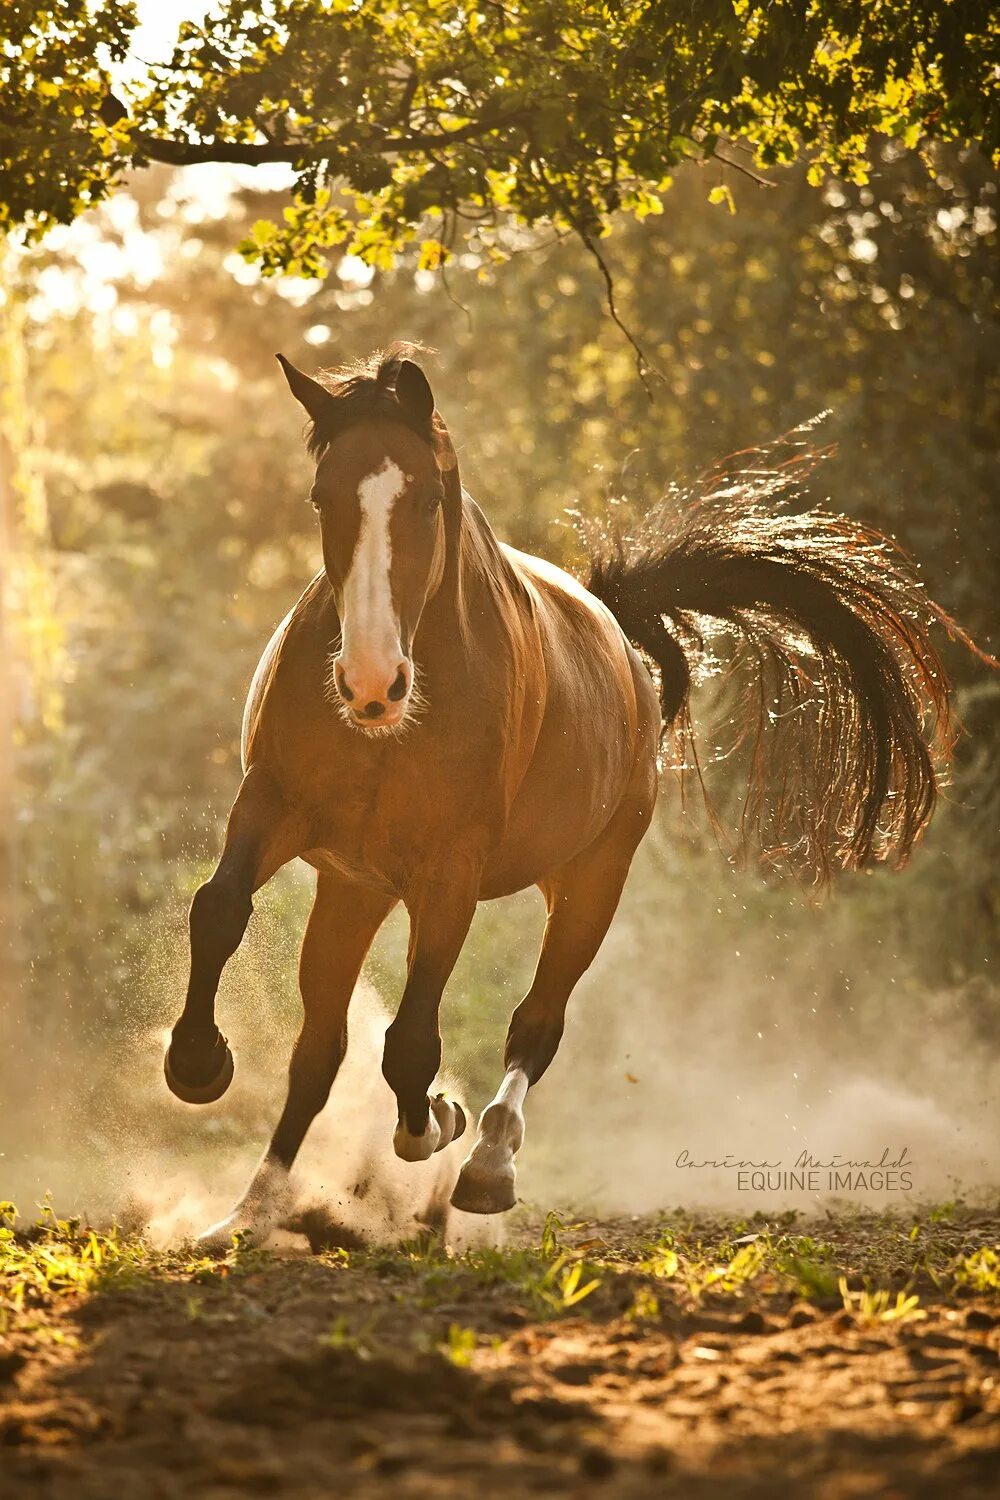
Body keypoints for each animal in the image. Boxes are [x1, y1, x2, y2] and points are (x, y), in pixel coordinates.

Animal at [167, 345, 959, 1248]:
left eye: (427, 498)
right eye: (321, 497)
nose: (371, 682)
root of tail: (616, 629)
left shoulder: (451, 872)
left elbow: (413, 1044)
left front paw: (436, 1124)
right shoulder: (274, 805)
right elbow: (218, 910)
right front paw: (197, 1064)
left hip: (588, 884)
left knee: (534, 1025)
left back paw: (483, 1165)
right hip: (353, 891)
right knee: (319, 1051)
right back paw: (250, 1211)